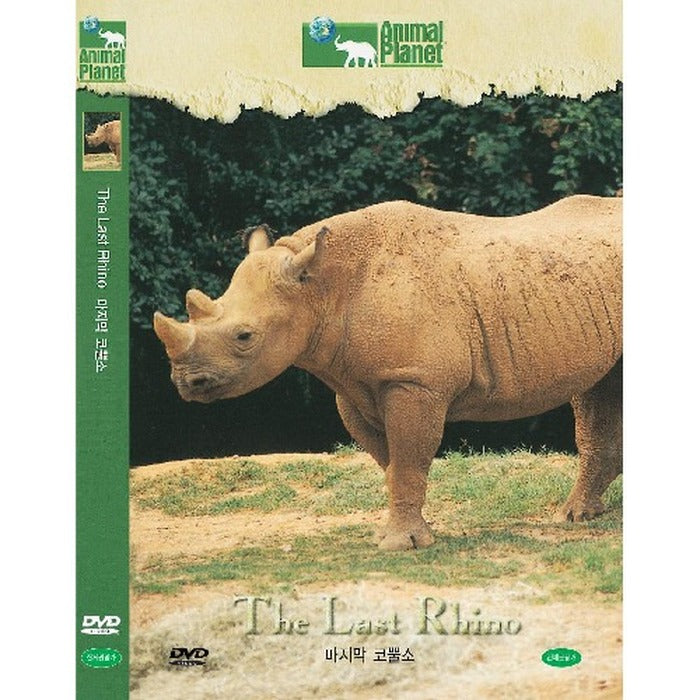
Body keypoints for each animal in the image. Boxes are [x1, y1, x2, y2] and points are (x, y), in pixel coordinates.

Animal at [154, 196, 622, 551]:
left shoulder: (413, 380)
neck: (321, 289)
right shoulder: (355, 384)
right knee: (598, 390)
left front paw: (401, 545)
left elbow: (409, 459)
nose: (185, 383)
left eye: (244, 336)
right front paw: (402, 536)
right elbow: (392, 464)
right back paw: (578, 516)